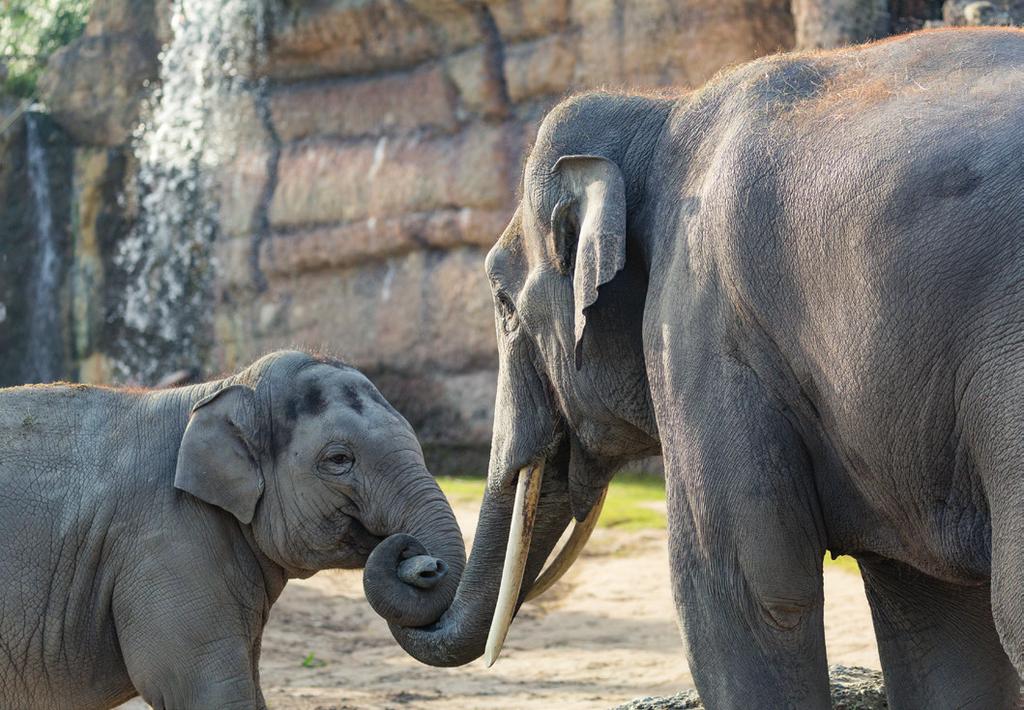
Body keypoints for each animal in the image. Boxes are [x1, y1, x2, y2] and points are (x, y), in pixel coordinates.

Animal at [366, 30, 1024, 704]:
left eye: (501, 300)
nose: (417, 560)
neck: (661, 111)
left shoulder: (703, 325)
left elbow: (741, 593)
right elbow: (938, 623)